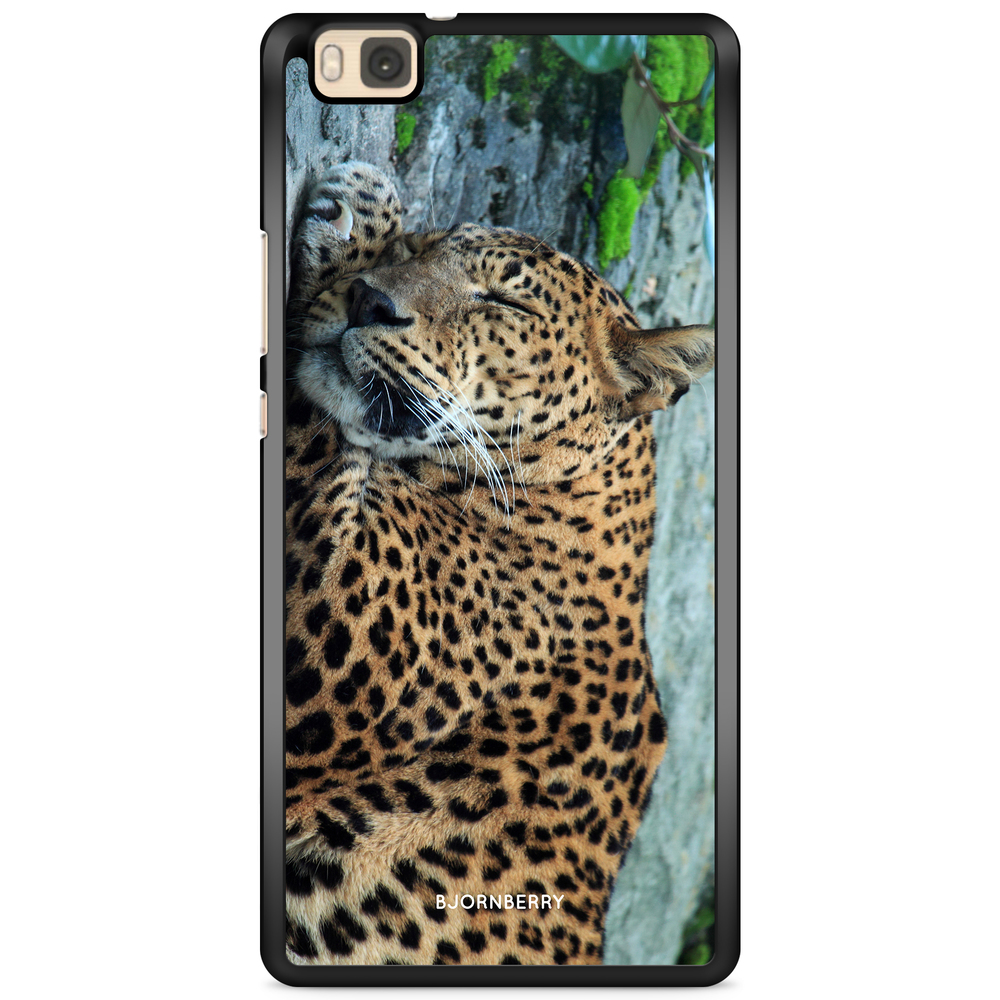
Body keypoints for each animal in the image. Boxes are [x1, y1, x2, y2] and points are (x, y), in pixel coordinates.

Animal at [283, 162, 714, 966]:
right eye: (425, 247)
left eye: (503, 301)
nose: (369, 300)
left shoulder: (339, 619)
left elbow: (314, 426)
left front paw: (357, 209)